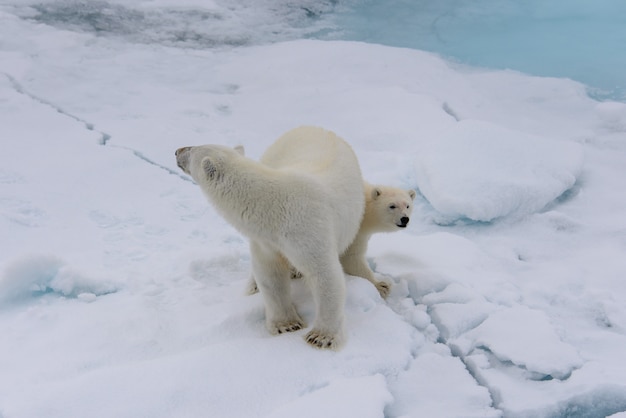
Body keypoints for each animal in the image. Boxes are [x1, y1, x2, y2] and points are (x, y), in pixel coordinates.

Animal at [173, 126, 364, 350]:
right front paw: (286, 325)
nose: (177, 150)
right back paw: (254, 286)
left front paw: (321, 337)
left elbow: (324, 274)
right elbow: (270, 274)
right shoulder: (266, 240)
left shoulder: (307, 228)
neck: (275, 207)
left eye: (192, 149)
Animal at [247, 182, 414, 298]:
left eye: (407, 205)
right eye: (392, 206)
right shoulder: (354, 230)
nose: (405, 219)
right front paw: (381, 285)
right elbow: (351, 258)